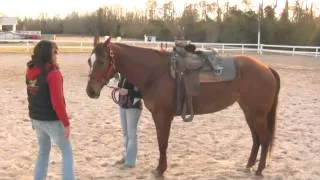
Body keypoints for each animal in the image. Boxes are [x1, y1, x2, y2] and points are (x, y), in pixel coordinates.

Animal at [87, 37, 280, 177]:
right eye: (90, 61)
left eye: (102, 61)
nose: (90, 91)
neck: (155, 73)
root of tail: (266, 68)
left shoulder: (162, 116)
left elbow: (162, 143)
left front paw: (160, 170)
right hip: (250, 113)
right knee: (256, 139)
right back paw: (249, 166)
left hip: (257, 115)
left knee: (264, 139)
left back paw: (259, 170)